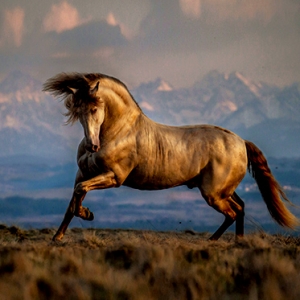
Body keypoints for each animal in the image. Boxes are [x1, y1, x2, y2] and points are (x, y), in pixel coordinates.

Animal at [42, 72, 298, 241]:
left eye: (95, 109)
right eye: (77, 112)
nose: (92, 146)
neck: (118, 131)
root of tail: (241, 142)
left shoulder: (114, 177)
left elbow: (78, 194)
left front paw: (87, 214)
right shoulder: (83, 173)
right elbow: (74, 199)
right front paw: (58, 236)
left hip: (214, 193)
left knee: (233, 212)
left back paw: (216, 241)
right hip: (223, 189)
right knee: (241, 208)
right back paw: (234, 243)